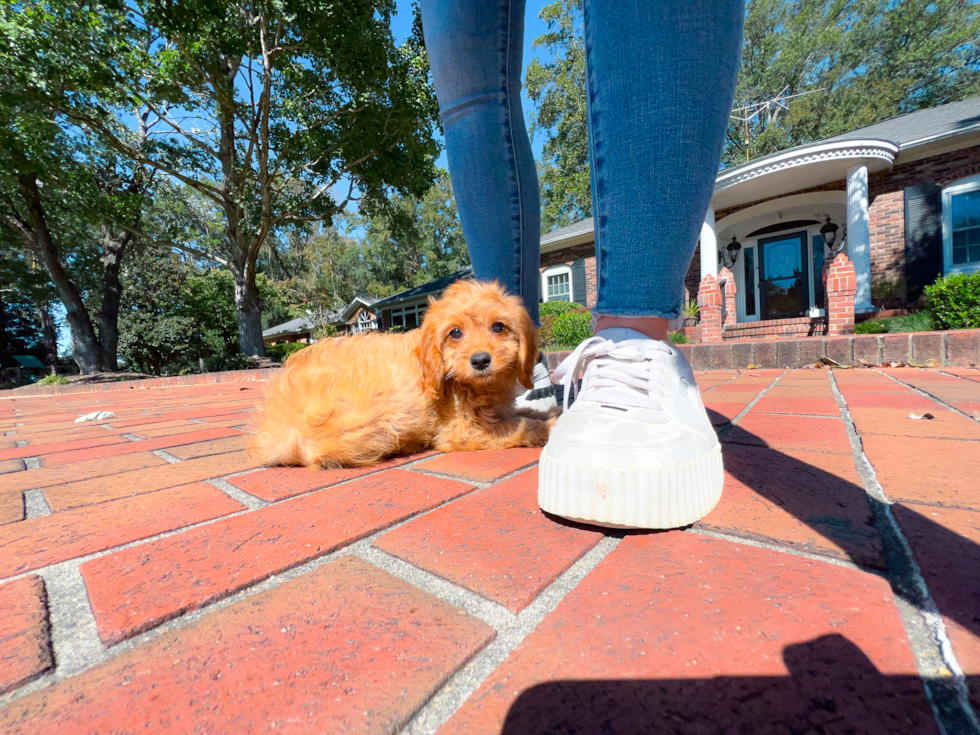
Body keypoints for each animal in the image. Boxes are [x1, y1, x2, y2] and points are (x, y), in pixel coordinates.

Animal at [251, 278, 560, 468]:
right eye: (455, 333)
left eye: (499, 327)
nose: (481, 360)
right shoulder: (460, 430)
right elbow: (517, 426)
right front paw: (549, 426)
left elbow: (522, 413)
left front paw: (550, 413)